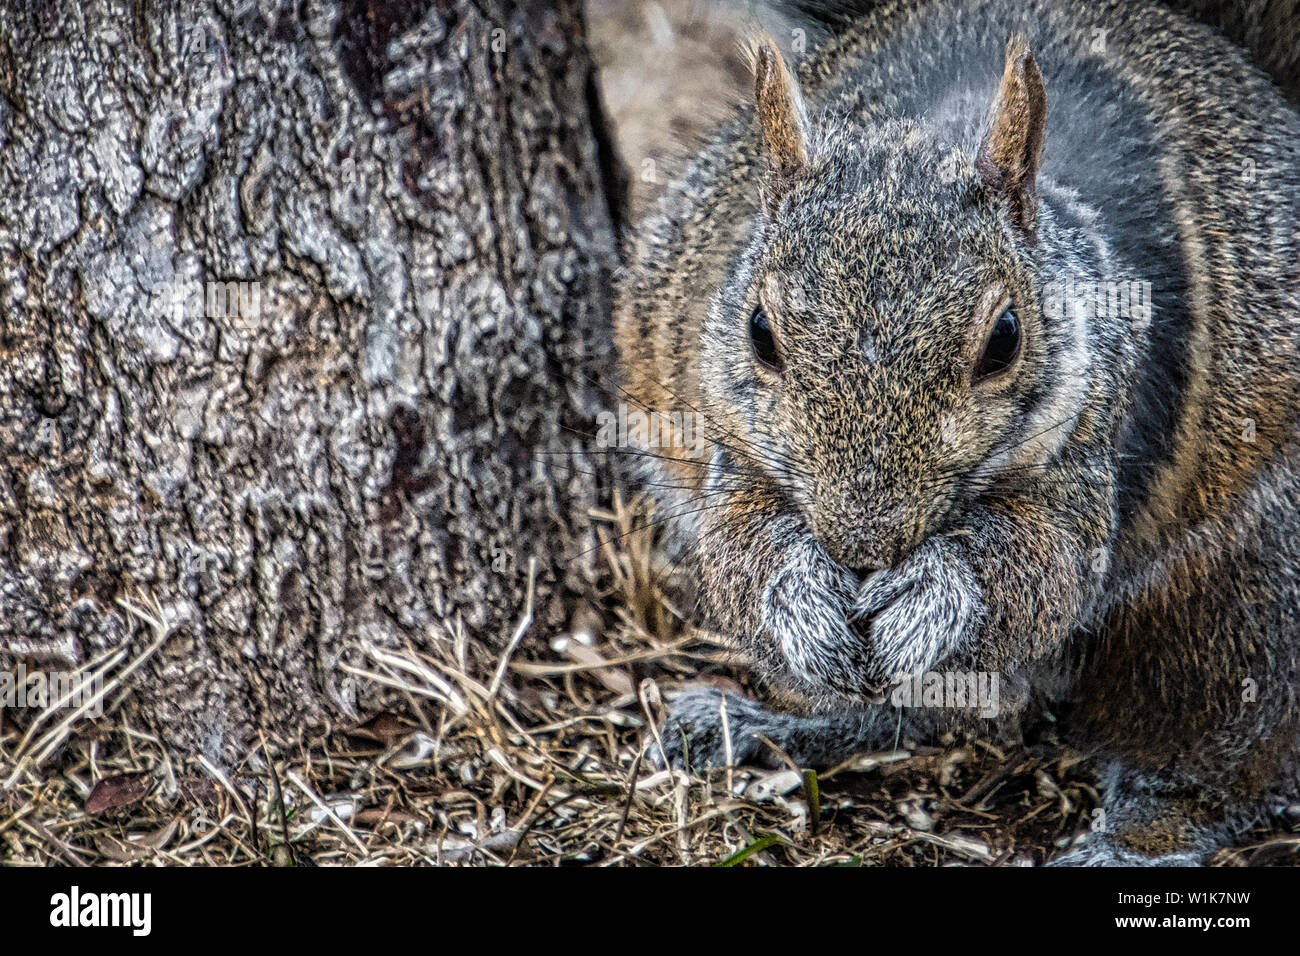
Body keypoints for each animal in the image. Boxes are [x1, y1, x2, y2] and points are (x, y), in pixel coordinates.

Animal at [611, 0, 1300, 868]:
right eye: (760, 331)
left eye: (1004, 339)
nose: (863, 547)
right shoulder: (738, 449)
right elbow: (738, 549)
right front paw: (798, 592)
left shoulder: (1095, 428)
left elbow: (1047, 568)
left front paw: (936, 590)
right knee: (936, 707)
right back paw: (784, 724)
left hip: (1245, 582)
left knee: (1212, 731)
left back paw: (1142, 835)